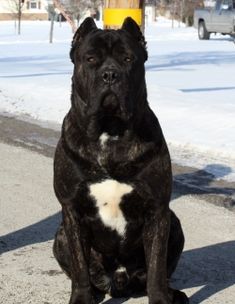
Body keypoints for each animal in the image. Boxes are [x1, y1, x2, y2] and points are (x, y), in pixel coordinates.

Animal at [53, 17, 189, 304]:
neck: (110, 130)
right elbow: (79, 267)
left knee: (158, 274)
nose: (110, 74)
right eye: (91, 59)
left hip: (174, 224)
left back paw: (174, 294)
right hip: (60, 235)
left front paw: (160, 298)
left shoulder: (157, 211)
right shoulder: (71, 211)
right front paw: (81, 298)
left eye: (128, 59)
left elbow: (157, 267)